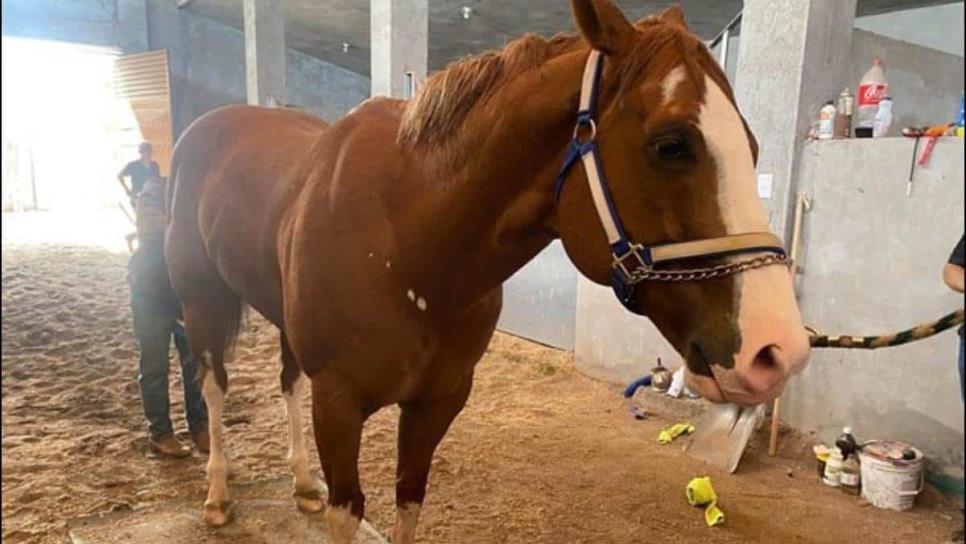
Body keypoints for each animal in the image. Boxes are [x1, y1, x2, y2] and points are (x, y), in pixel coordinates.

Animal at [164, 2, 808, 540]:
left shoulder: (437, 403)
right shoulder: (339, 406)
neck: (409, 247)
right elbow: (349, 508)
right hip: (200, 300)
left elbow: (408, 500)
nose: (779, 350)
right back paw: (217, 495)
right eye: (670, 144)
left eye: (752, 146)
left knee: (286, 380)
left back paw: (301, 484)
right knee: (214, 385)